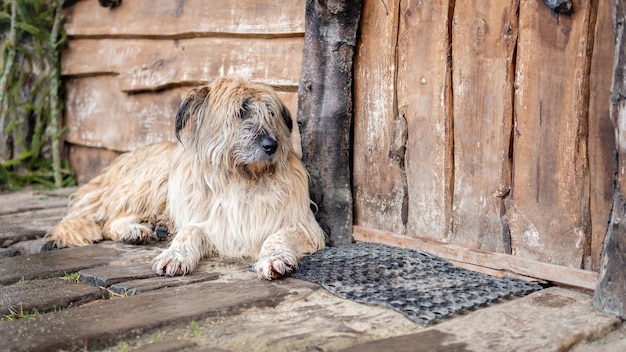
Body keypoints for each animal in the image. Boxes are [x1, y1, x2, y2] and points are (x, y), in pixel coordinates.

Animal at [43, 77, 324, 280]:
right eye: (241, 112)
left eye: (271, 114)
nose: (271, 146)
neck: (240, 179)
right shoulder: (209, 219)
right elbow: (189, 231)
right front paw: (175, 255)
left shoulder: (301, 224)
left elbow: (279, 236)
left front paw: (274, 258)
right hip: (154, 179)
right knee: (109, 221)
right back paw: (137, 230)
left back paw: (154, 227)